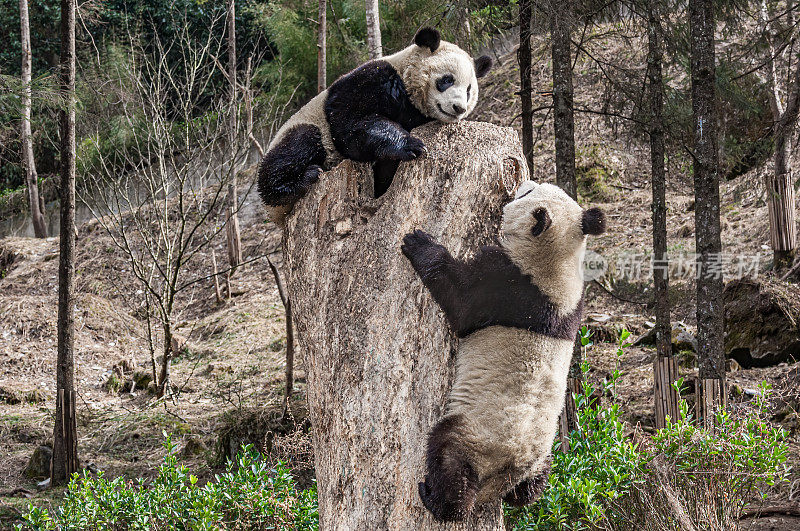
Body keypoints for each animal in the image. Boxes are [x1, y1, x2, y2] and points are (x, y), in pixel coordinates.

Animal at [260, 26, 490, 218]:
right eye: (447, 80)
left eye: (469, 90)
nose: (459, 108)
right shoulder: (371, 79)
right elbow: (351, 124)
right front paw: (411, 145)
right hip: (304, 127)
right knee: (296, 147)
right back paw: (301, 179)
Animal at [400, 181, 608, 520]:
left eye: (528, 194)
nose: (523, 183)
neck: (557, 264)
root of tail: (508, 471)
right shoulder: (574, 307)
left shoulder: (509, 285)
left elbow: (462, 302)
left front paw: (419, 242)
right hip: (542, 454)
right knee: (534, 486)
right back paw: (519, 495)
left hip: (477, 435)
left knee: (450, 457)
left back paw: (438, 499)